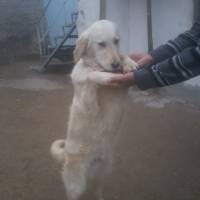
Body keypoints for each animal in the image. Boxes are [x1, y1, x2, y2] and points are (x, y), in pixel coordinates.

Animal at [50, 19, 138, 200]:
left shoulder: (124, 88)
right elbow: (91, 76)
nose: (115, 65)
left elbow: (123, 54)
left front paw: (129, 63)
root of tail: (66, 153)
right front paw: (104, 76)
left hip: (104, 171)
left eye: (116, 41)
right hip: (77, 184)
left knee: (98, 190)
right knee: (73, 194)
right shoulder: (87, 105)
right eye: (101, 44)